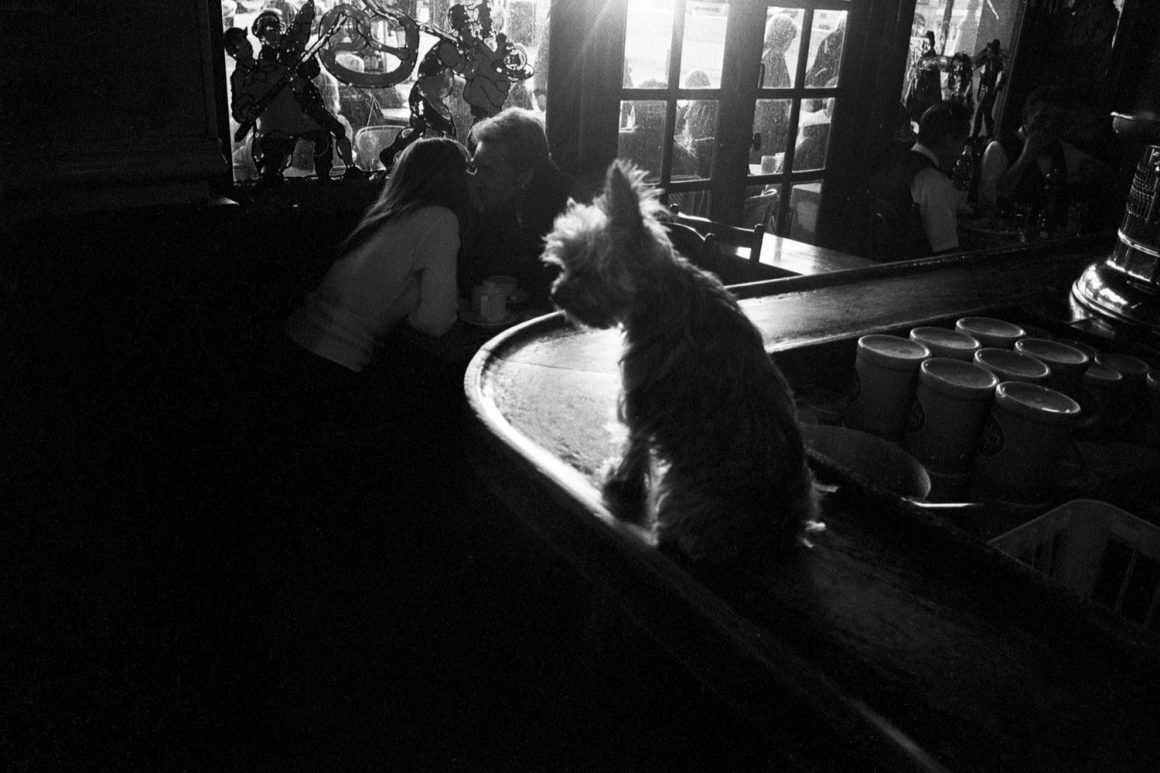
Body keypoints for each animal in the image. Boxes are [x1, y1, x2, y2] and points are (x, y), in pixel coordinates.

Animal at [540, 161, 821, 559]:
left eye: (588, 268)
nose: (556, 294)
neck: (662, 293)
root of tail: (781, 529)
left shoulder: (640, 392)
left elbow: (634, 441)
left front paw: (620, 480)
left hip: (691, 496)